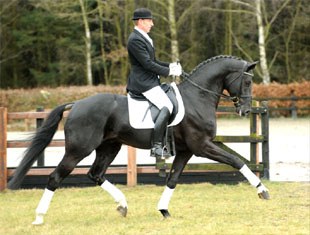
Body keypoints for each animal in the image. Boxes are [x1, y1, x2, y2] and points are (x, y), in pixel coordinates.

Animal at [7, 54, 268, 225]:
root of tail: (77, 103)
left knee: (96, 174)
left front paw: (163, 210)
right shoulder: (201, 146)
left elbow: (173, 179)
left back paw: (122, 205)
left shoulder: (186, 150)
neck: (198, 97)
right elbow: (236, 161)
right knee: (55, 177)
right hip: (78, 149)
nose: (245, 110)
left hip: (109, 147)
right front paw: (262, 190)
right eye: (247, 81)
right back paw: (39, 217)